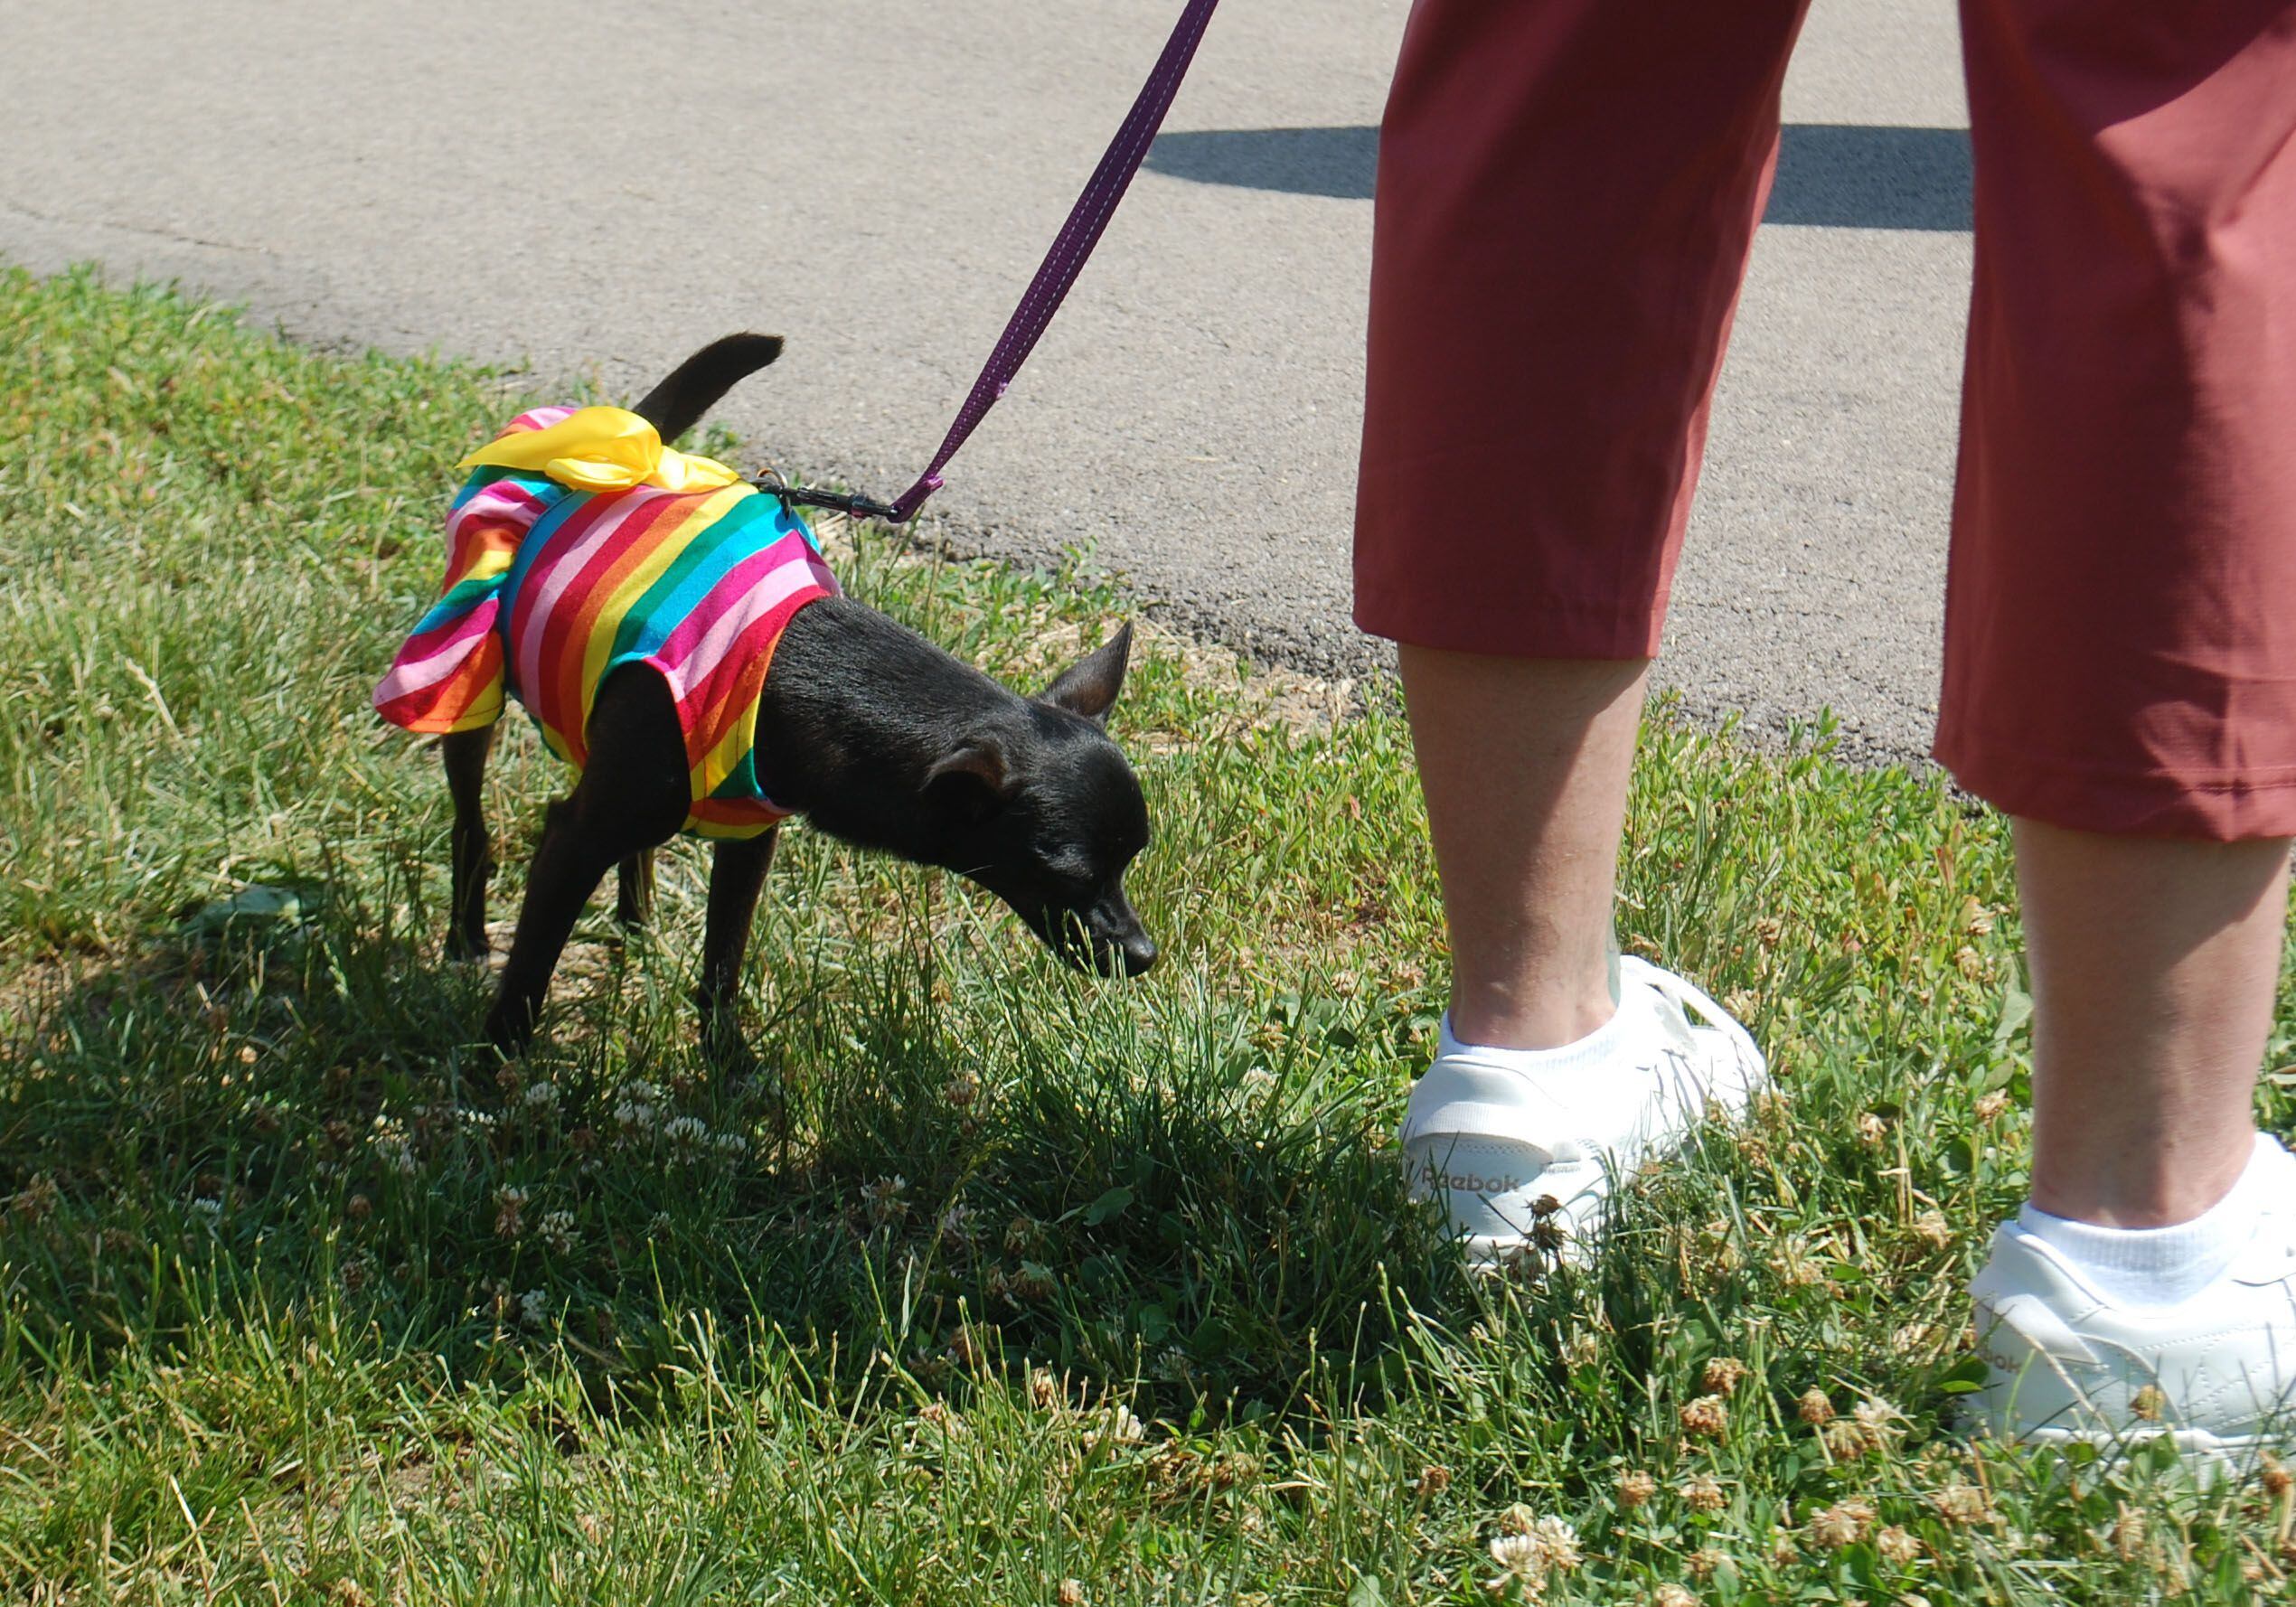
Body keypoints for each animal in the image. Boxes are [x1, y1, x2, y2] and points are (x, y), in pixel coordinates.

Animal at [388, 330, 1166, 1060]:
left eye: (1132, 861)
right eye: (1066, 873)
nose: (1143, 953)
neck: (793, 662)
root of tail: (620, 447)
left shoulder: (747, 838)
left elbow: (722, 962)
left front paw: (725, 1063)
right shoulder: (573, 841)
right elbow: (531, 968)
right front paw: (496, 1067)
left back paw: (636, 924)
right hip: (470, 669)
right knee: (471, 817)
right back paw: (467, 934)